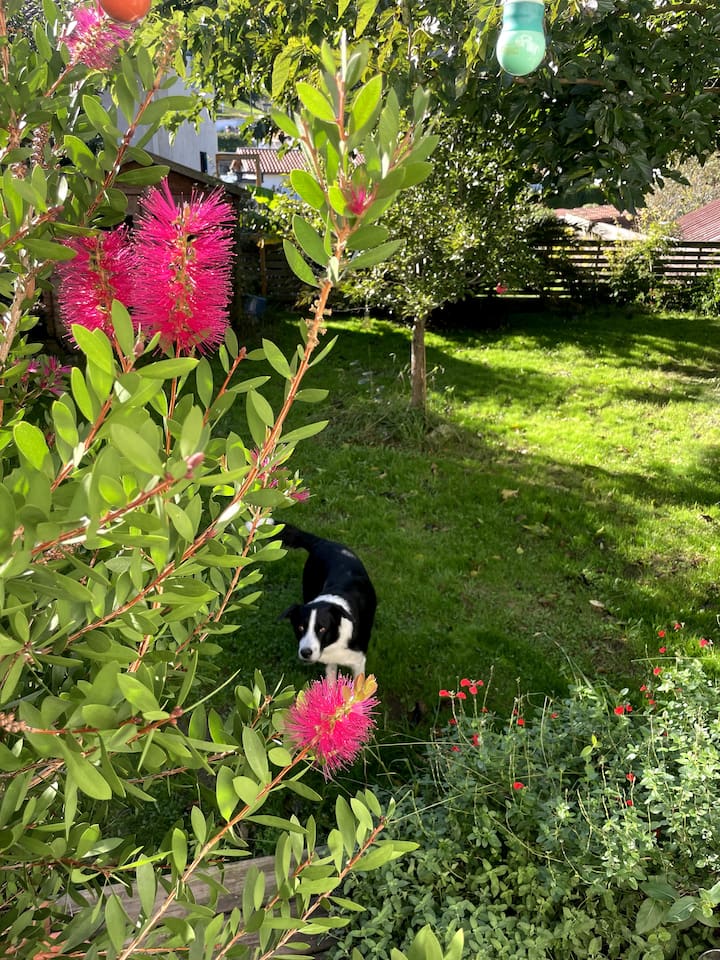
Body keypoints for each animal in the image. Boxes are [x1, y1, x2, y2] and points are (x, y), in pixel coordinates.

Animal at [276, 524, 376, 681]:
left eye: (322, 628)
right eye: (300, 627)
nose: (305, 652)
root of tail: (323, 542)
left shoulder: (358, 661)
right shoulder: (330, 661)